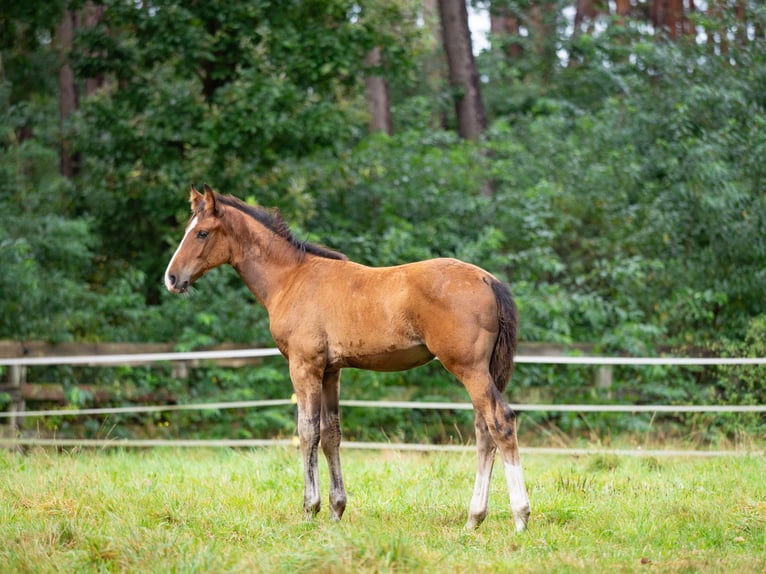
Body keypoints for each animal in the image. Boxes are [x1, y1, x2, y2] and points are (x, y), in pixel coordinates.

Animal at [165, 187, 532, 532]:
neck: (291, 278)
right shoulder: (331, 371)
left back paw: (519, 516)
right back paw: (474, 519)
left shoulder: (304, 366)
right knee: (484, 431)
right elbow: (331, 433)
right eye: (188, 229)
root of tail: (488, 280)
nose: (171, 278)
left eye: (202, 233)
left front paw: (309, 509)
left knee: (500, 422)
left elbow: (308, 431)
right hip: (482, 372)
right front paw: (336, 510)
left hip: (469, 369)